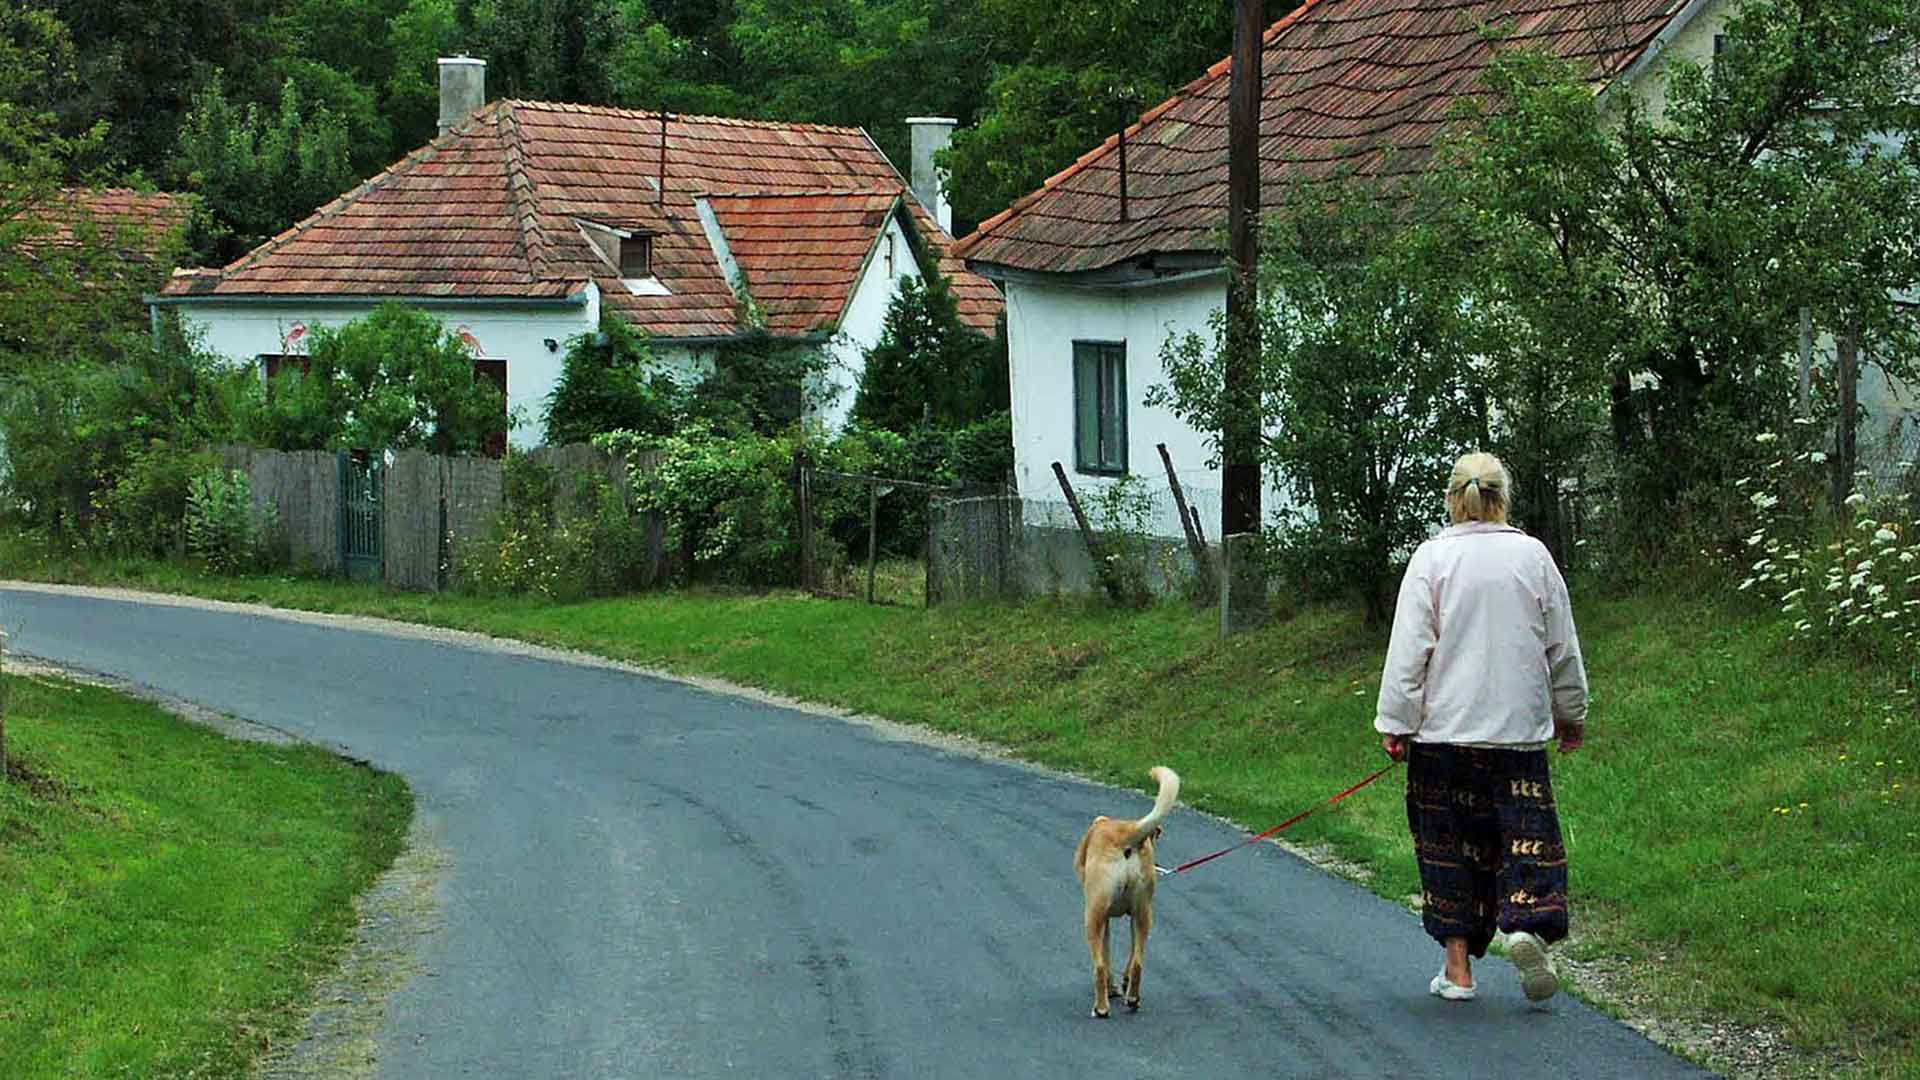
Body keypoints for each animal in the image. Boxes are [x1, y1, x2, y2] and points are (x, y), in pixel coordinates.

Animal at [1075, 760, 1175, 1014]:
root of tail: (1127, 834)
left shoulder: (1104, 918)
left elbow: (1106, 956)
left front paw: (1112, 989)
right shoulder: (1132, 917)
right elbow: (1130, 957)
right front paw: (1124, 984)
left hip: (1092, 915)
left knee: (1099, 966)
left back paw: (1101, 1008)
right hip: (1144, 914)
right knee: (1138, 962)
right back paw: (1133, 998)